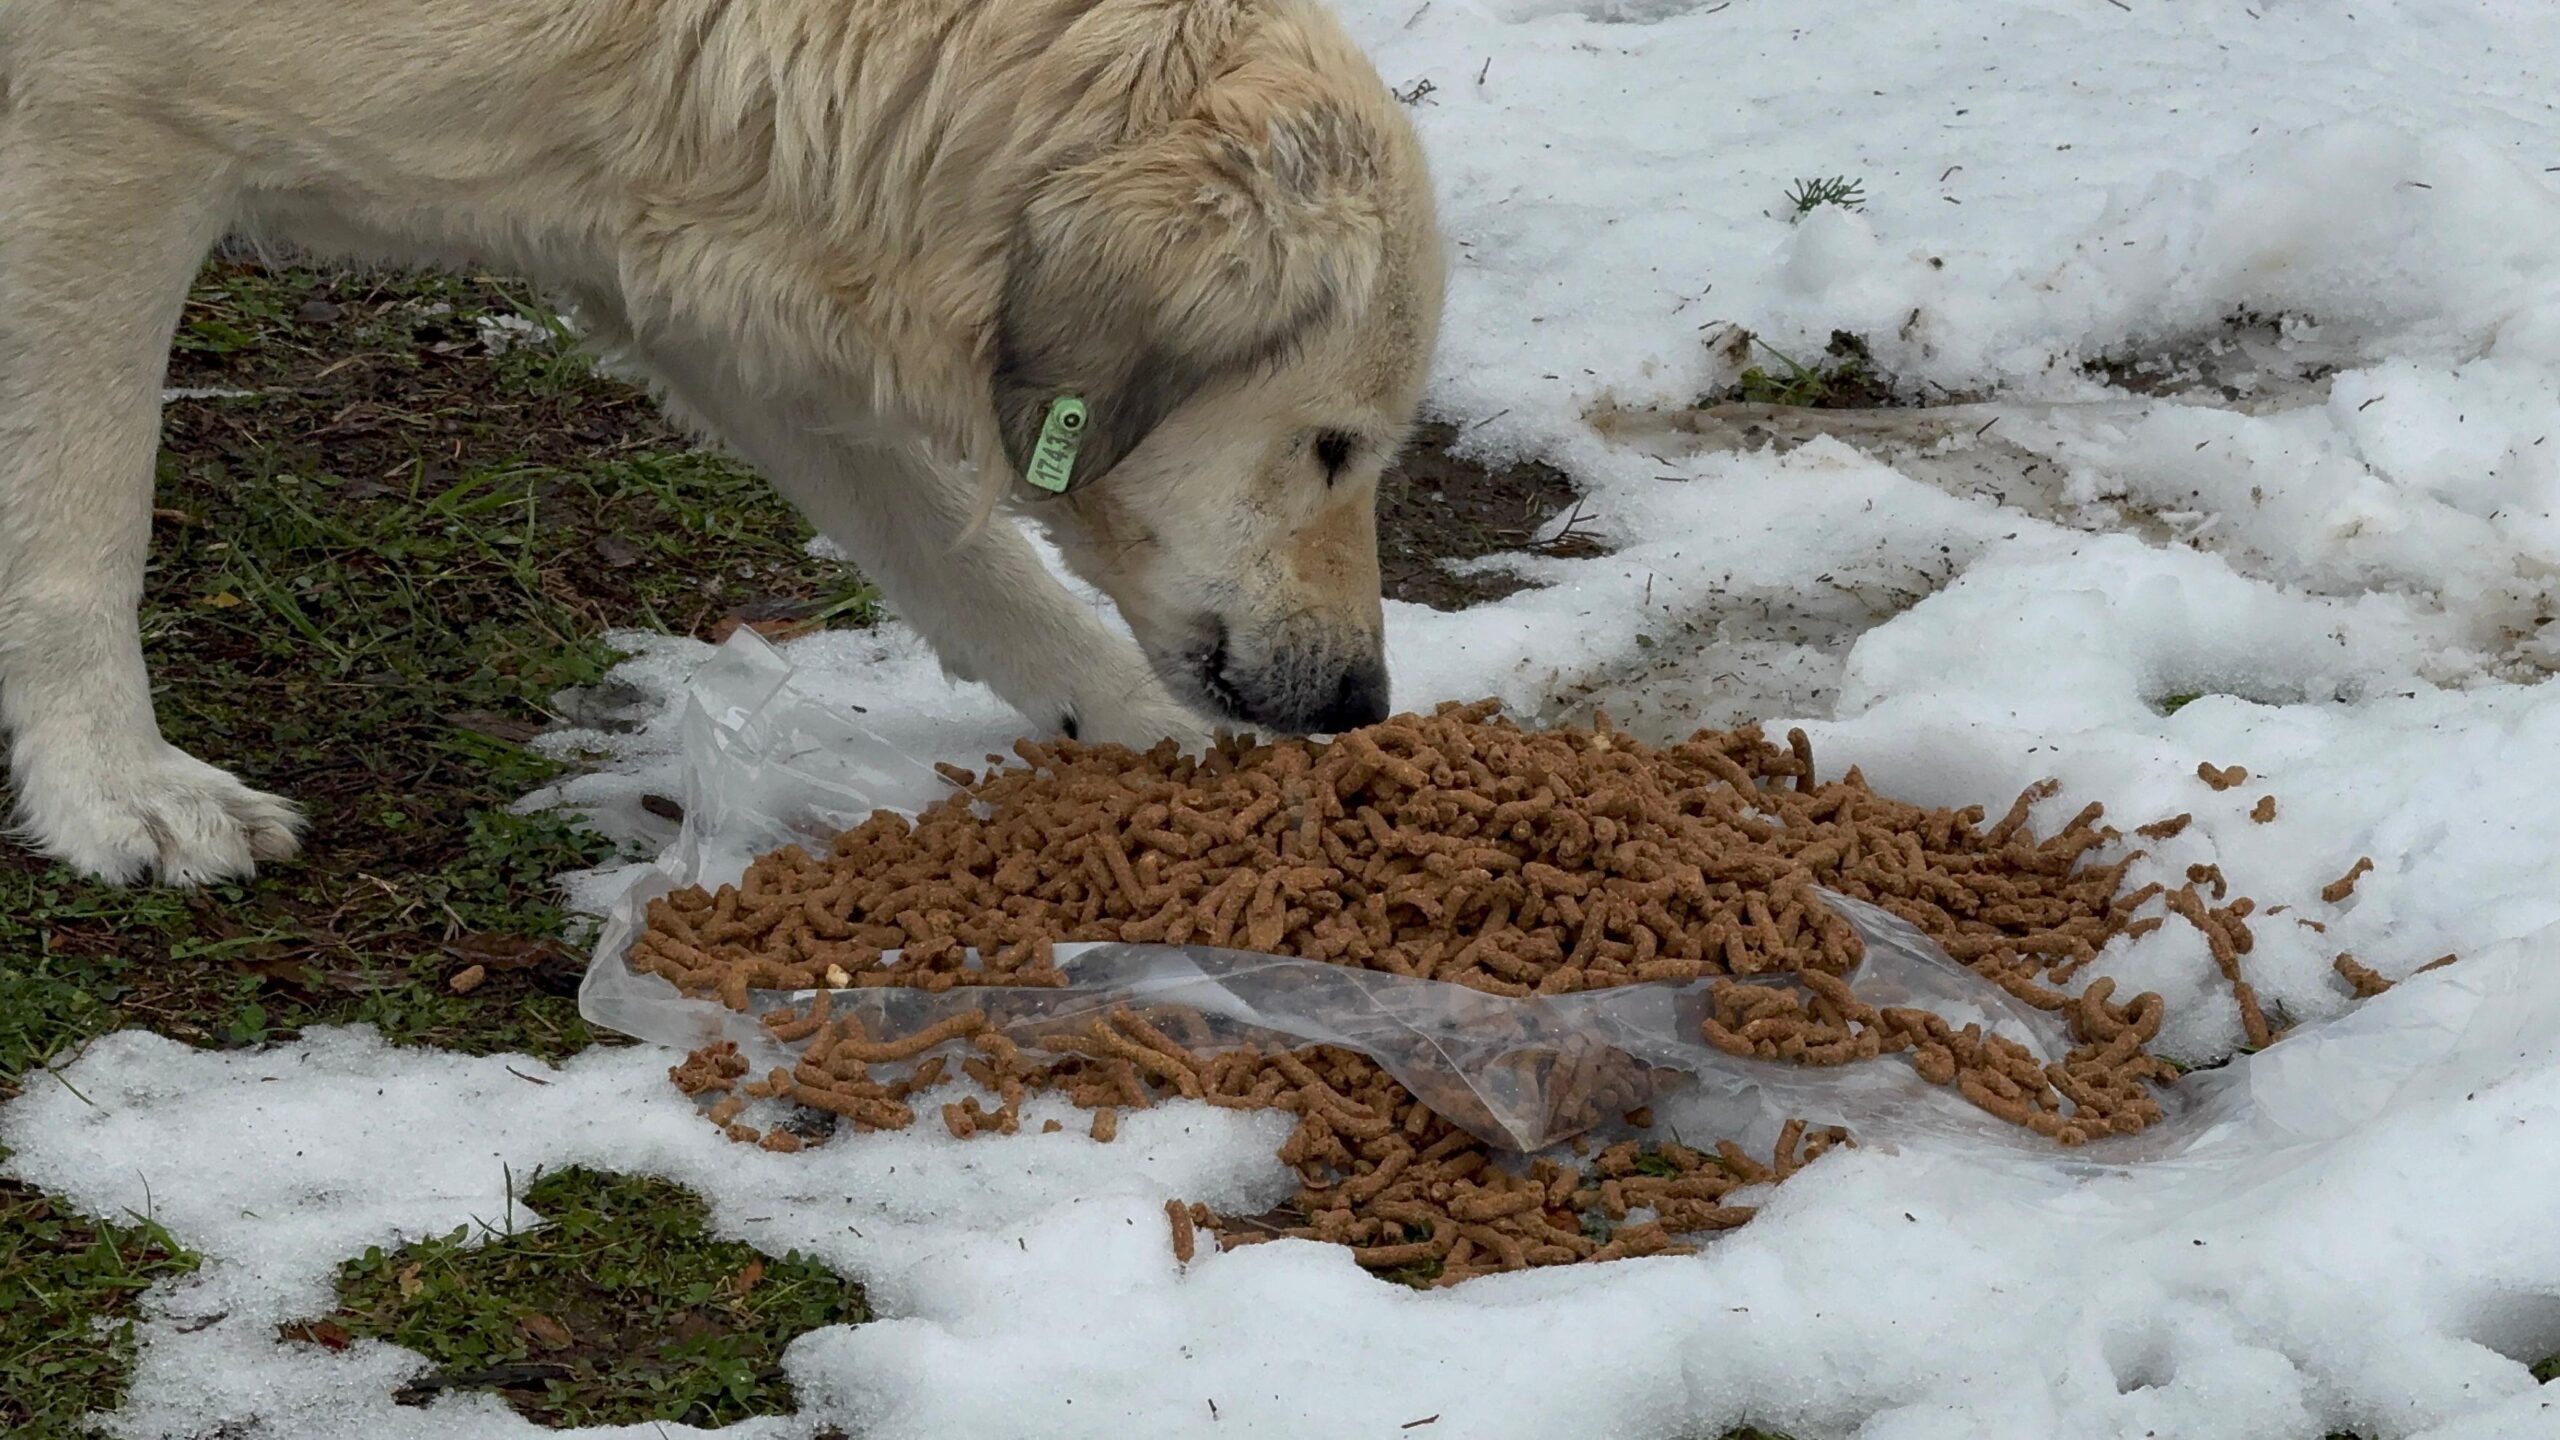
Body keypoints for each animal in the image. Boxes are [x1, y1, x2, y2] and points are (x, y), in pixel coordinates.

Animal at [0, 0, 1443, 881]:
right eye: (1333, 449)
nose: (1361, 706)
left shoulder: (687, 257)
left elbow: (959, 566)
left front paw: (1141, 729)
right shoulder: (98, 134)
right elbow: (81, 527)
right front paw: (113, 788)